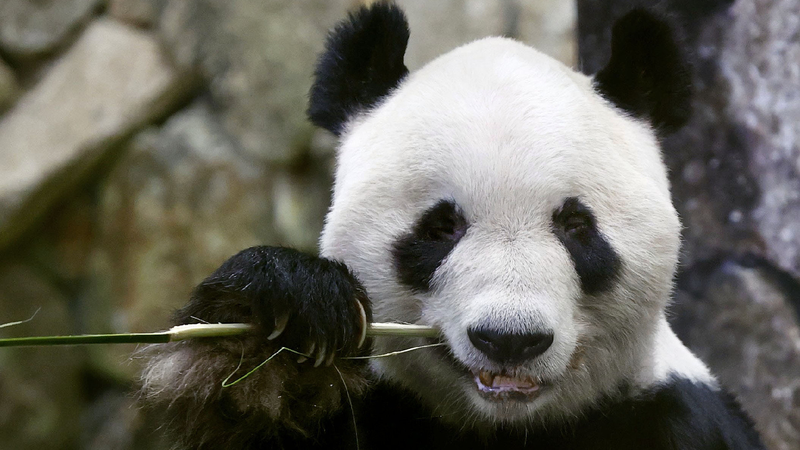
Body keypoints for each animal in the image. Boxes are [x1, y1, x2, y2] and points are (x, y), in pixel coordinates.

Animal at [140, 3, 765, 449]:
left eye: (576, 226)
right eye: (441, 227)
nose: (510, 339)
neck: (506, 425)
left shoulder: (676, 417)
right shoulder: (377, 412)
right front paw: (290, 309)